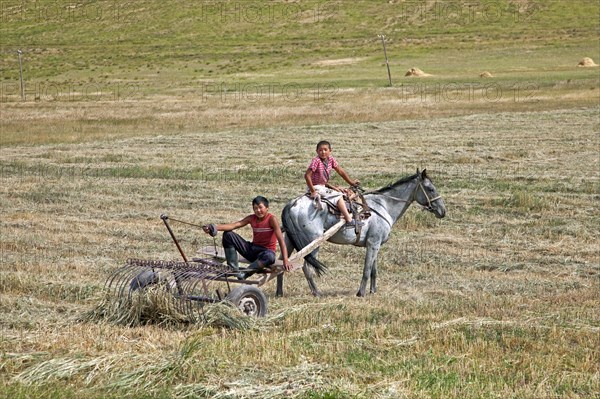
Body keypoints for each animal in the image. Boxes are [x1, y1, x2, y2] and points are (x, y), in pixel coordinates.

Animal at [278, 169, 442, 296]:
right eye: (430, 189)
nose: (442, 211)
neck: (384, 206)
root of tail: (292, 203)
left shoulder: (375, 244)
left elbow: (373, 270)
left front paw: (373, 291)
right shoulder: (373, 243)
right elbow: (367, 269)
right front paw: (361, 293)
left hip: (289, 241)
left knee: (282, 262)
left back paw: (279, 292)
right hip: (313, 243)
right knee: (306, 267)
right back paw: (317, 293)